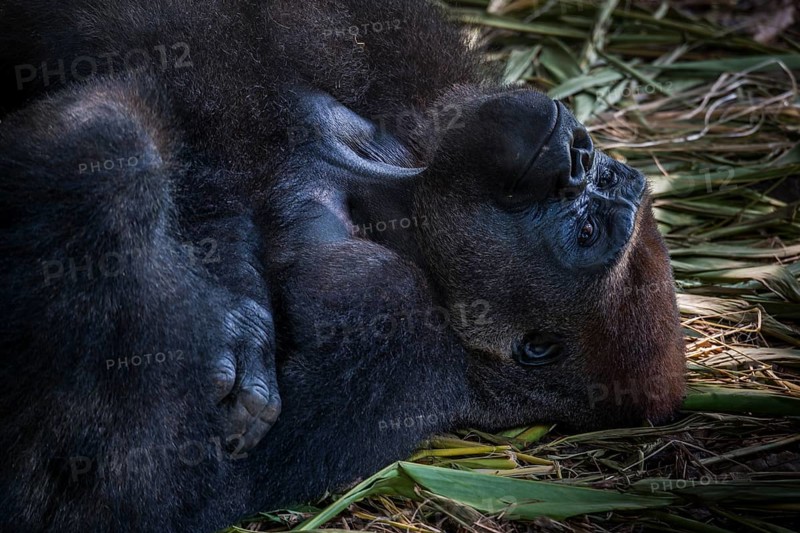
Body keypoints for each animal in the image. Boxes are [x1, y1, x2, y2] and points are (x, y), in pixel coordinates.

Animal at [0, 1, 685, 531]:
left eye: (586, 233)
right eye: (602, 180)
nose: (576, 155)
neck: (393, 195)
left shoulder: (395, 332)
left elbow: (151, 486)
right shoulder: (424, 83)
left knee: (105, 145)